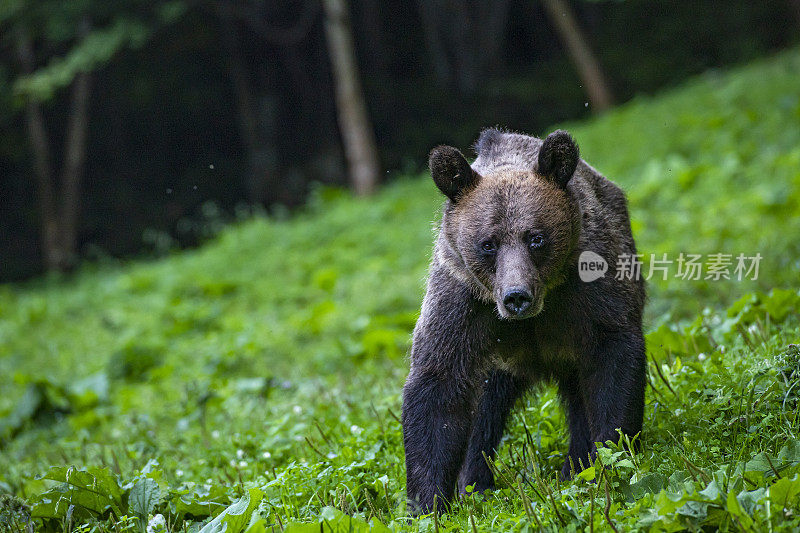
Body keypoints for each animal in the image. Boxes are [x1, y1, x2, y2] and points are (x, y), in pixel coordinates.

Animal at [404, 127, 648, 512]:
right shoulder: (462, 302)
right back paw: (475, 482)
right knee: (485, 412)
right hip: (497, 363)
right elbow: (438, 386)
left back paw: (573, 466)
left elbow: (613, 361)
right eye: (488, 243)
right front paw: (428, 503)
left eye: (536, 238)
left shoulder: (592, 289)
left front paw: (609, 457)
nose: (516, 296)